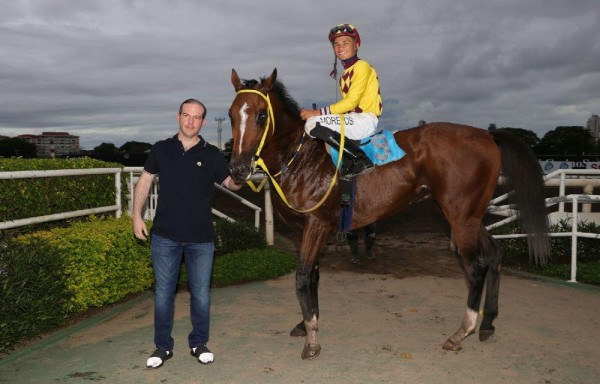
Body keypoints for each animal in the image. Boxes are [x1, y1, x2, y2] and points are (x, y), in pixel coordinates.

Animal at [227, 68, 552, 360]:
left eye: (261, 115)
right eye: (231, 115)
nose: (238, 169)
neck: (301, 158)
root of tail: (486, 134)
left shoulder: (317, 226)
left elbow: (303, 277)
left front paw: (312, 340)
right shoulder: (302, 230)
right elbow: (313, 276)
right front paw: (306, 323)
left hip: (460, 215)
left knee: (475, 267)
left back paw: (461, 332)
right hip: (470, 215)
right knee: (494, 254)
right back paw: (487, 324)